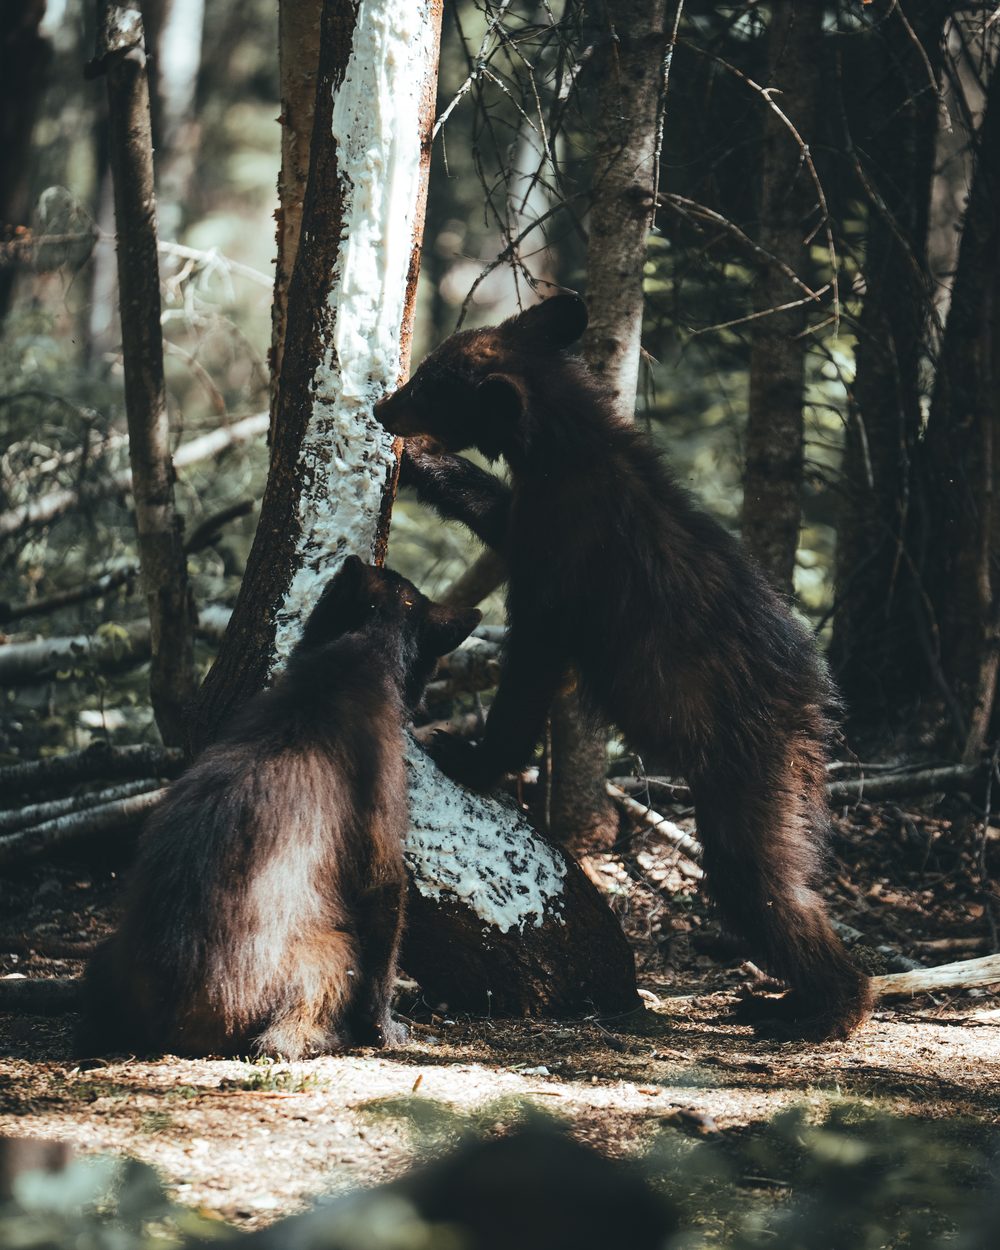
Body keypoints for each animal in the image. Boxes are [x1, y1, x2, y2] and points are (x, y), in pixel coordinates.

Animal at [76, 557, 481, 1059]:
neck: (359, 651)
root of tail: (171, 1021)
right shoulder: (382, 858)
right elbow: (383, 956)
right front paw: (385, 1030)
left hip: (107, 953)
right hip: (330, 947)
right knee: (279, 1037)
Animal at [374, 293, 873, 1040]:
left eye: (432, 385)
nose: (384, 408)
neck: (566, 447)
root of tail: (815, 710)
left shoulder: (566, 558)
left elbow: (532, 666)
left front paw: (471, 755)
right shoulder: (537, 513)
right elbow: (497, 510)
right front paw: (422, 461)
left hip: (751, 770)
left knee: (760, 883)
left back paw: (817, 1008)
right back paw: (785, 999)